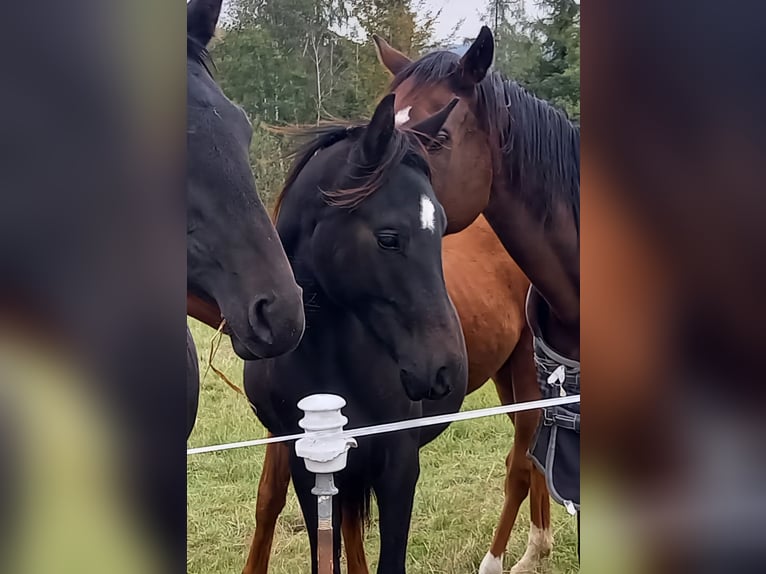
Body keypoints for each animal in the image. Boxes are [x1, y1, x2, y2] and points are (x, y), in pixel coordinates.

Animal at [243, 217, 556, 574]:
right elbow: (271, 498)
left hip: (525, 373)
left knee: (520, 467)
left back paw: (499, 560)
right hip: (506, 378)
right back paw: (537, 549)